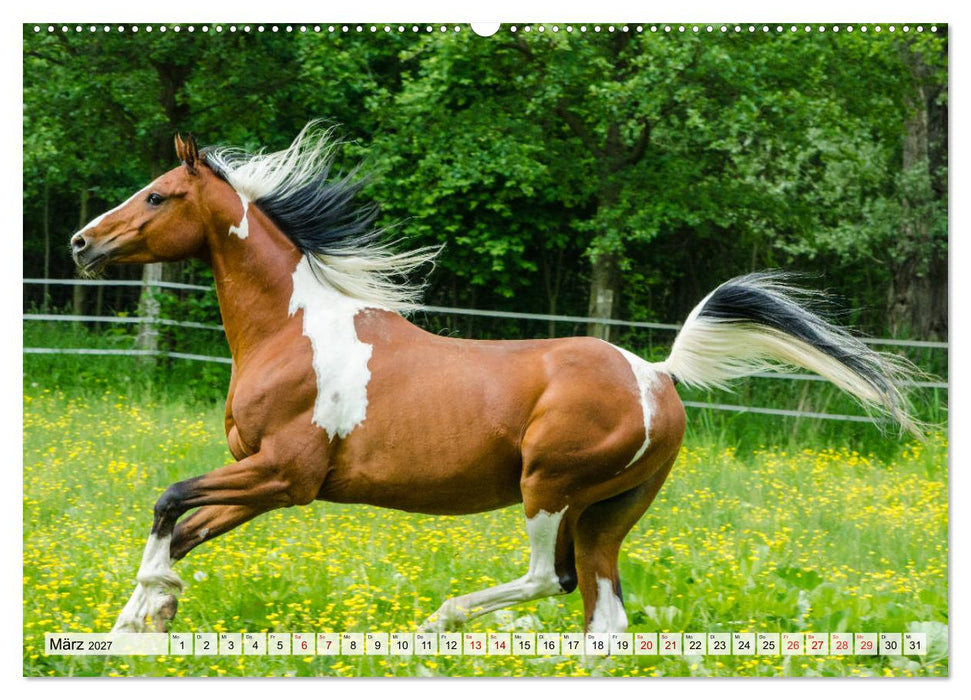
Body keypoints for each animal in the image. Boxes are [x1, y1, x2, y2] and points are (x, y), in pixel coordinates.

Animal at [70, 124, 922, 635]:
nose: (81, 243)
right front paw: (135, 626)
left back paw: (438, 623)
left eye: (158, 194)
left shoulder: (286, 473)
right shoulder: (265, 480)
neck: (292, 331)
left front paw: (142, 616)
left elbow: (166, 504)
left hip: (548, 487)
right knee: (603, 617)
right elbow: (181, 531)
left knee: (547, 579)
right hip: (608, 512)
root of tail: (656, 374)